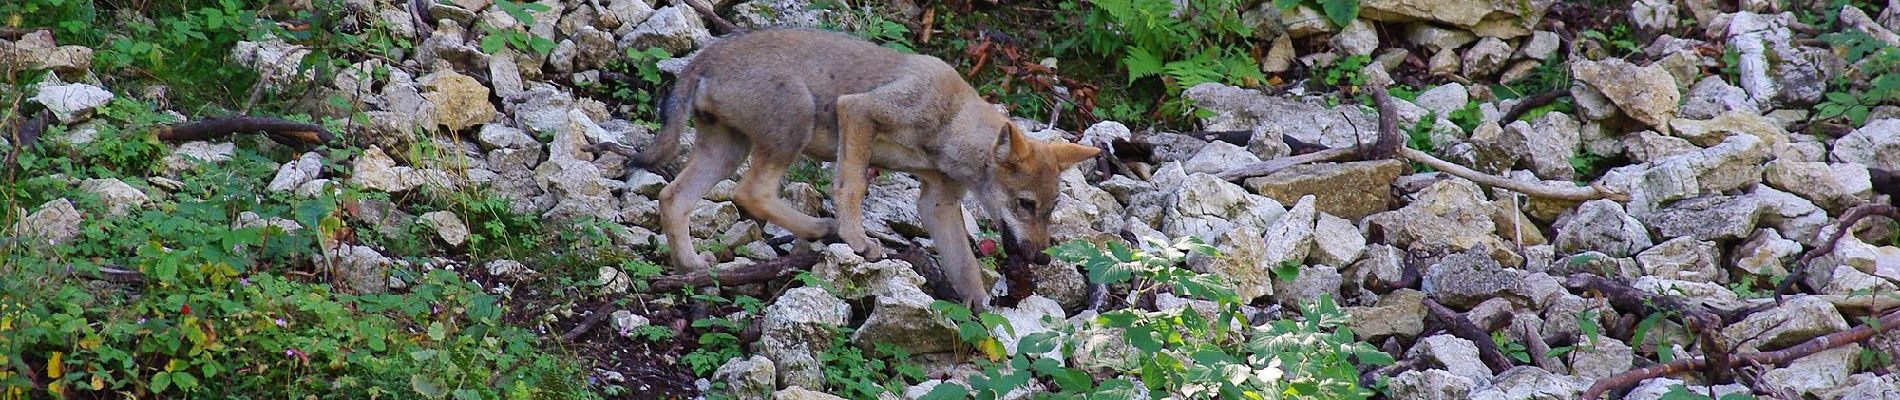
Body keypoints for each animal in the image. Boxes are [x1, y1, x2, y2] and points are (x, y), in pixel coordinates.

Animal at [630, 28, 1102, 309]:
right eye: (1025, 205)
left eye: (1051, 210)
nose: (1041, 257)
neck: (951, 124)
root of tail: (705, 57)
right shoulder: (857, 111)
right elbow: (852, 187)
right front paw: (857, 240)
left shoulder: (937, 204)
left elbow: (965, 265)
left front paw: (981, 316)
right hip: (793, 125)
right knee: (750, 193)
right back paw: (823, 229)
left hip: (726, 151)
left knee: (673, 198)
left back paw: (691, 266)